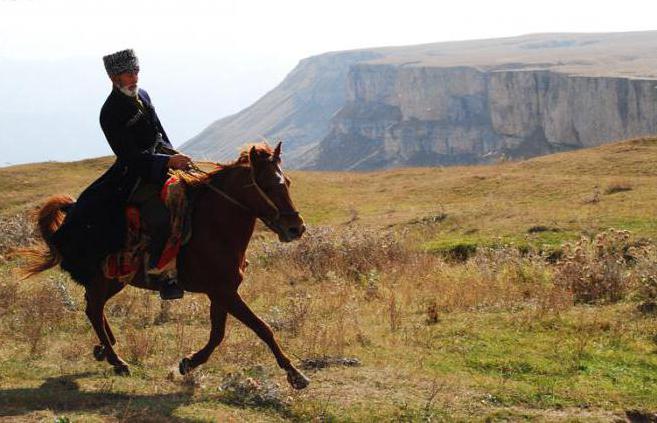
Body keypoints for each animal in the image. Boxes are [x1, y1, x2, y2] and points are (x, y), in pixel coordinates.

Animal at [18, 142, 310, 390]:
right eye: (268, 186)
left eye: (288, 183)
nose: (296, 228)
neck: (215, 227)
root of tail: (71, 210)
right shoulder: (224, 292)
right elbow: (262, 328)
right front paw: (295, 375)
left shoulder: (222, 292)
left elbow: (218, 333)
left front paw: (188, 363)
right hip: (105, 278)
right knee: (93, 309)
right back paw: (118, 360)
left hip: (116, 278)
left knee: (94, 307)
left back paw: (105, 348)